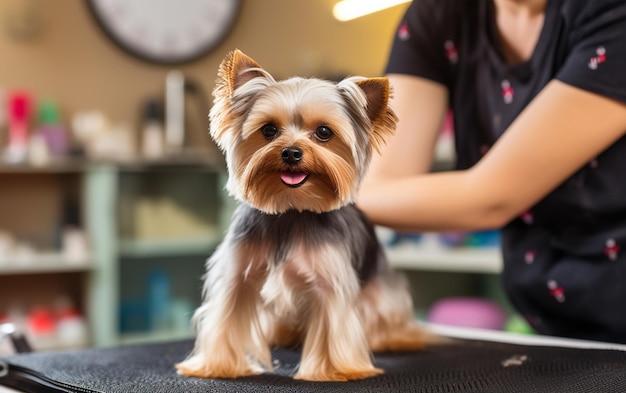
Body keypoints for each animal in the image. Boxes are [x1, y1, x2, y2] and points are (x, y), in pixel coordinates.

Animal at [173, 48, 432, 380]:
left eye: (323, 132)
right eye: (269, 130)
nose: (291, 152)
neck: (291, 209)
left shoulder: (330, 279)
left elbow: (333, 325)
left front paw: (337, 370)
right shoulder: (237, 274)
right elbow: (226, 317)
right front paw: (217, 365)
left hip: (381, 292)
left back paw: (397, 339)